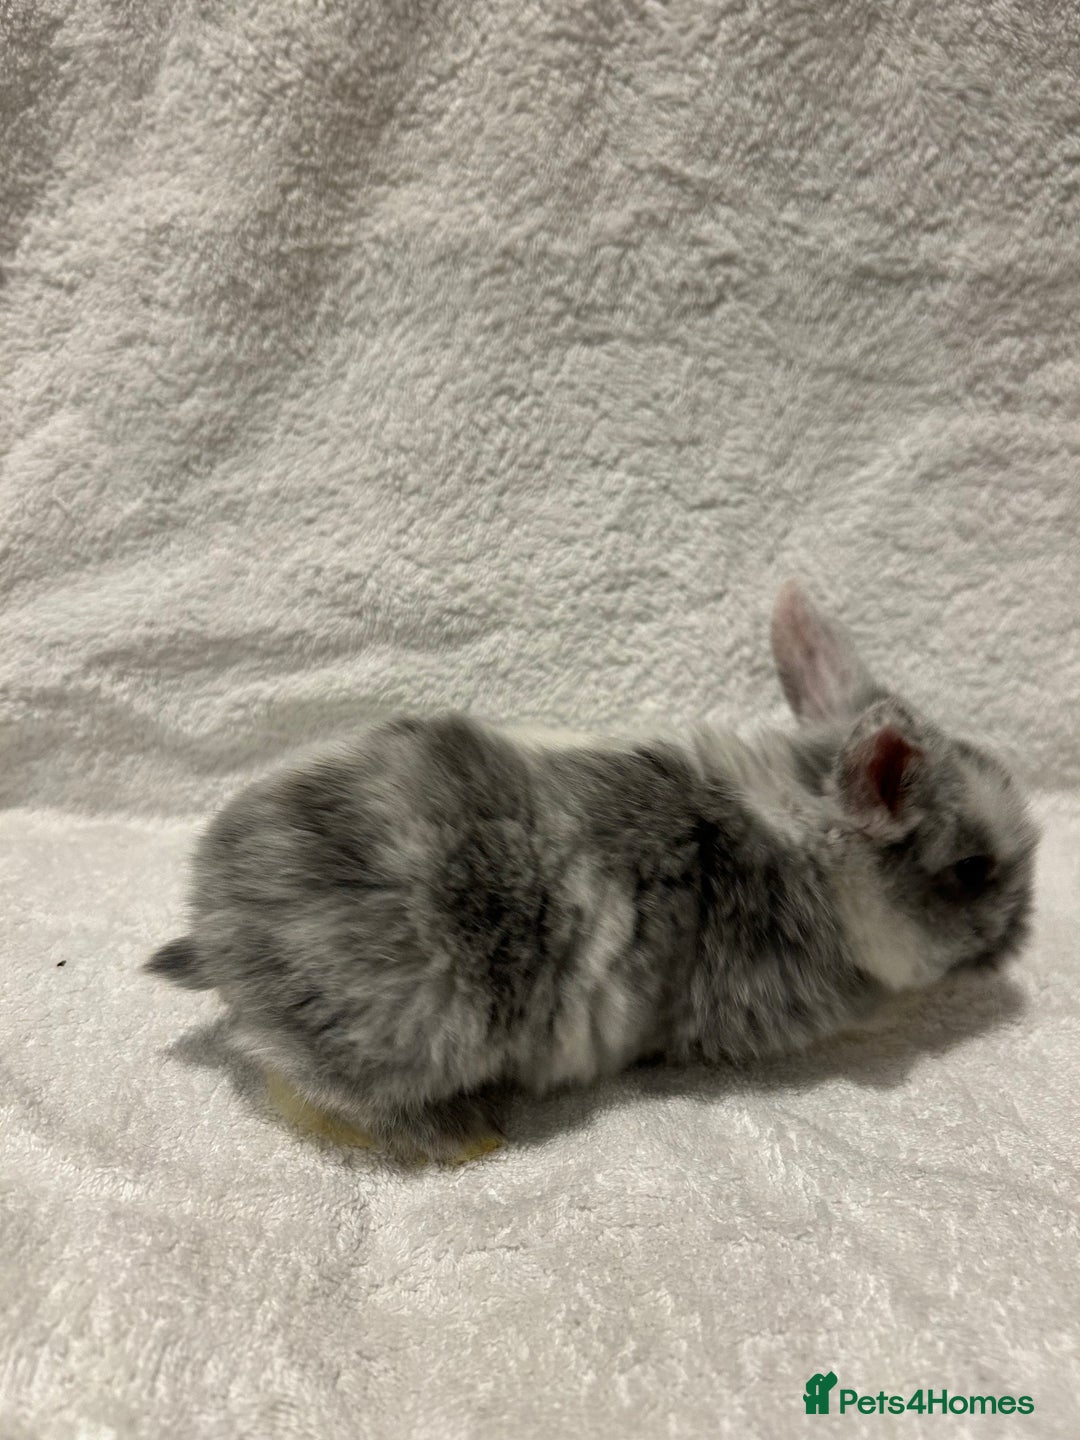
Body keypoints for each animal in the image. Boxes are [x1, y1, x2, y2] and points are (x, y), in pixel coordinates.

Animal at [146, 582, 1038, 1162]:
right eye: (972, 869)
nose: (1023, 937)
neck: (805, 837)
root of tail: (217, 933)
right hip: (407, 1034)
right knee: (305, 1095)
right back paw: (466, 1139)